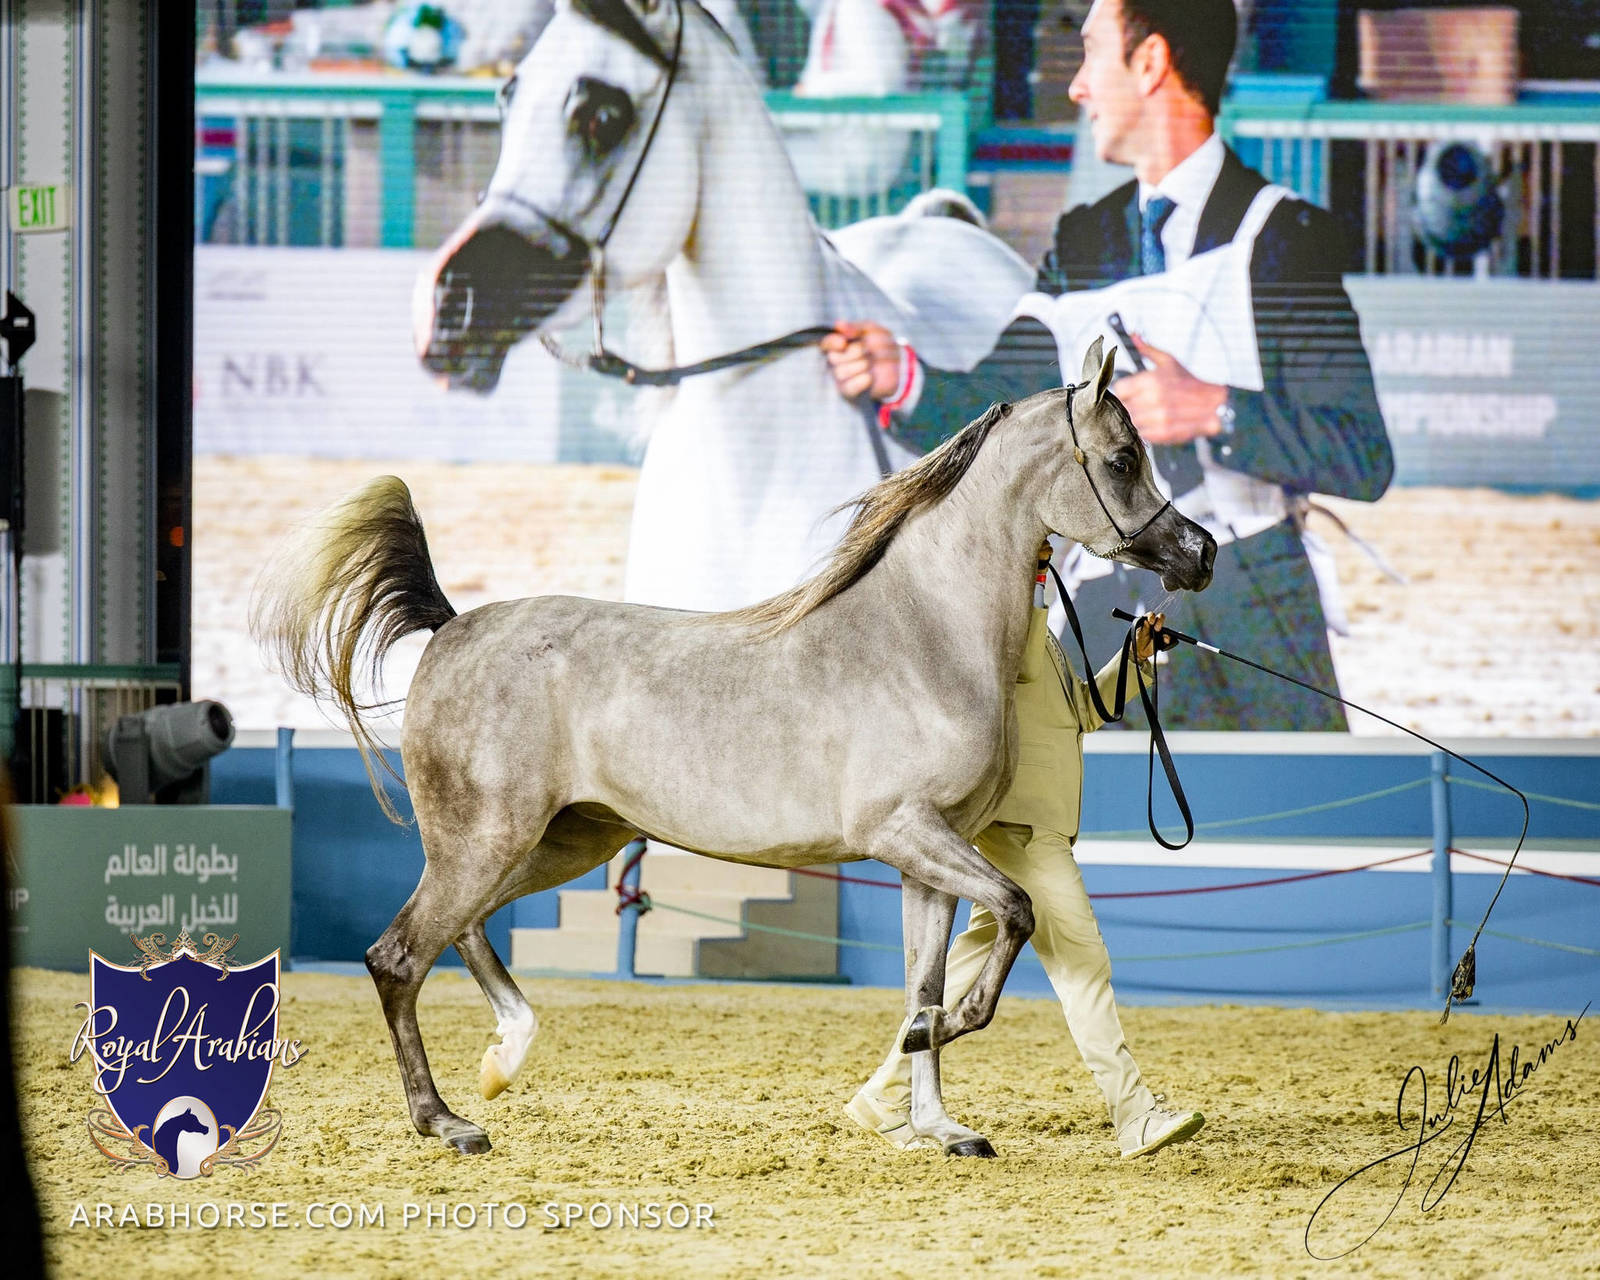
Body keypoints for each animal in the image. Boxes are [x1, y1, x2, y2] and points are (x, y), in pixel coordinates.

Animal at [251, 338, 1217, 1158]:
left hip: (564, 840)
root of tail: (453, 630)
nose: (1199, 554)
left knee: (464, 931)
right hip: (485, 841)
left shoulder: (930, 861)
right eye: (1123, 459)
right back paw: (446, 1121)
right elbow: (1011, 918)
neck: (923, 636)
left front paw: (940, 1127)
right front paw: (929, 1053)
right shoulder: (905, 833)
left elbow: (927, 981)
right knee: (398, 956)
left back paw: (503, 1058)